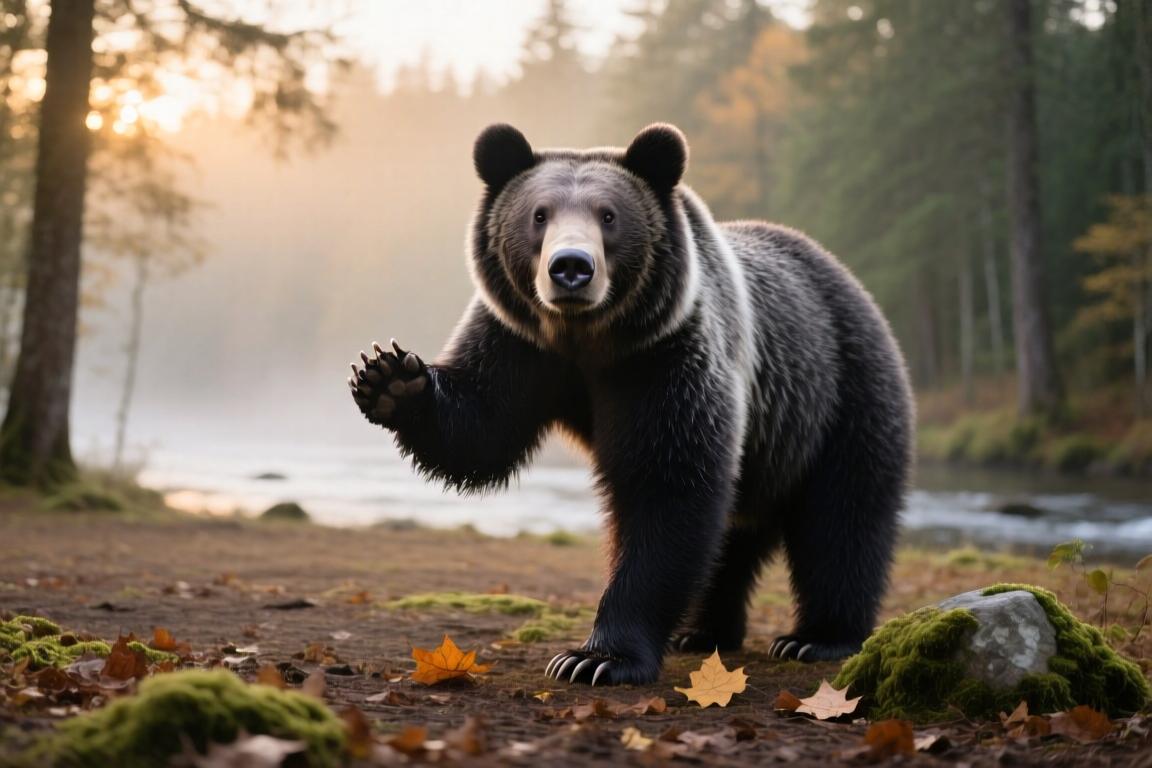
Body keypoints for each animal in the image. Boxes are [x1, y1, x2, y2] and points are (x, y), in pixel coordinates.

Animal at [349, 123, 913, 686]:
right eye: (539, 214)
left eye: (608, 215)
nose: (570, 268)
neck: (587, 339)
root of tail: (848, 280)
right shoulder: (519, 343)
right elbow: (481, 429)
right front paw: (390, 380)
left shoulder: (665, 358)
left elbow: (666, 490)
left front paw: (596, 658)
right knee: (735, 536)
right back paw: (704, 631)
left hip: (841, 394)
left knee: (843, 519)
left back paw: (816, 637)